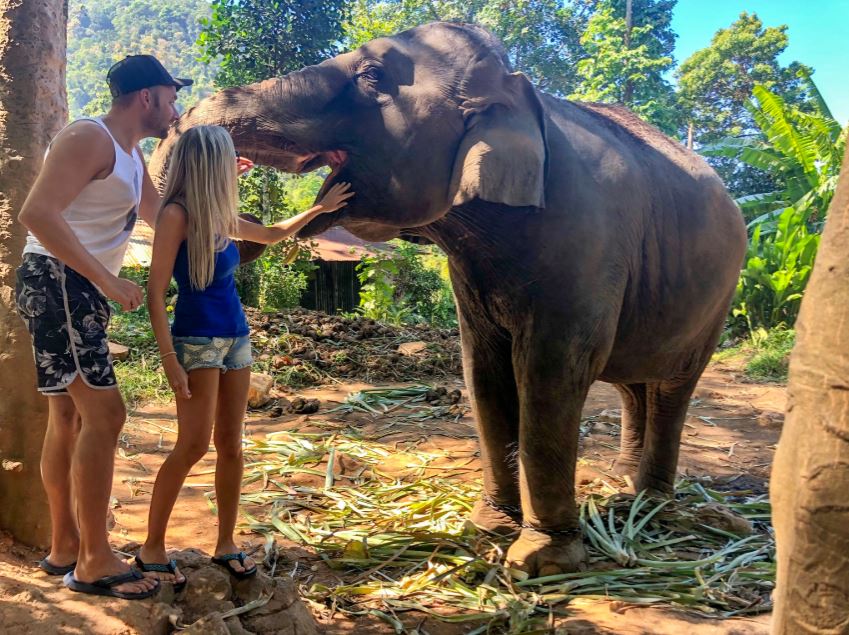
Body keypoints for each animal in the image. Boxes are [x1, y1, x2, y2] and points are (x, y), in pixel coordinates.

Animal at [149, 21, 744, 576]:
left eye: (372, 77)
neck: (520, 93)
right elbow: (483, 373)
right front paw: (488, 530)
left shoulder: (586, 245)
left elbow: (551, 374)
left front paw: (539, 561)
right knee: (633, 384)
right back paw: (622, 487)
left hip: (718, 297)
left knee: (670, 388)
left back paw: (651, 506)